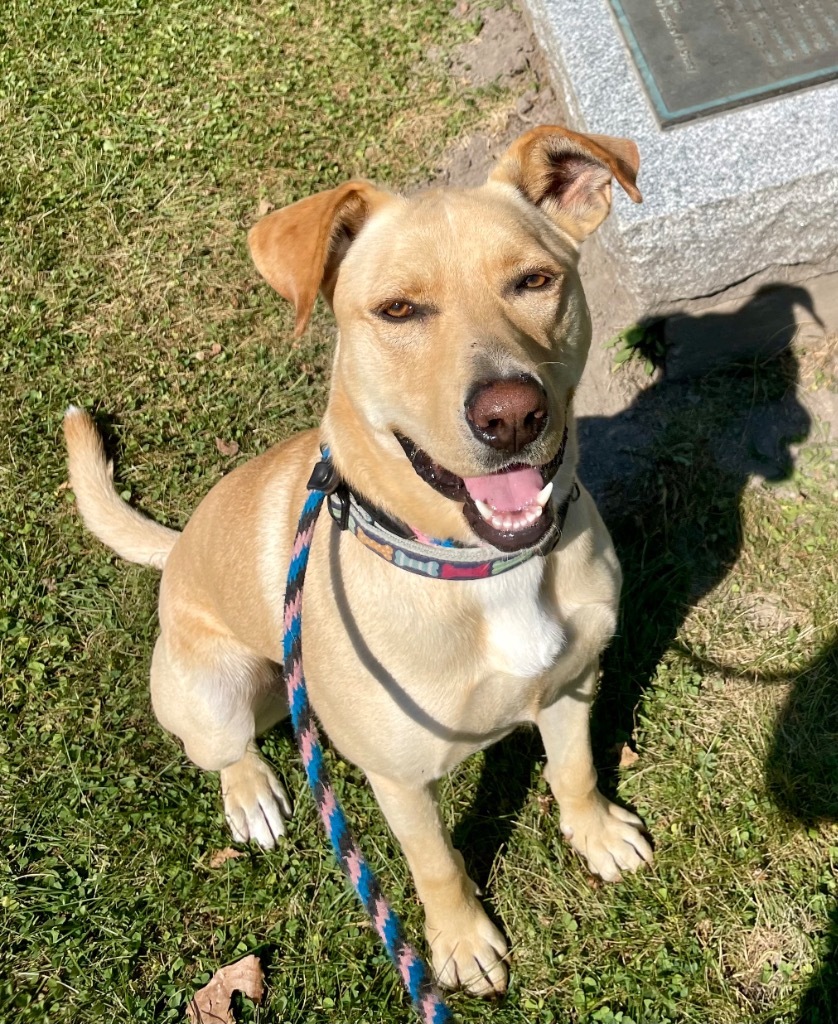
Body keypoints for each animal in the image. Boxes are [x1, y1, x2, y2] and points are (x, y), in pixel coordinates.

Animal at [65, 128, 651, 999]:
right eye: (399, 310)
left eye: (534, 281)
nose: (512, 415)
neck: (478, 568)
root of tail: (176, 552)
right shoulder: (399, 778)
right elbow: (435, 864)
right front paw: (460, 943)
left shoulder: (574, 680)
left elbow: (574, 768)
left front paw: (597, 831)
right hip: (220, 694)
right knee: (221, 750)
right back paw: (251, 794)